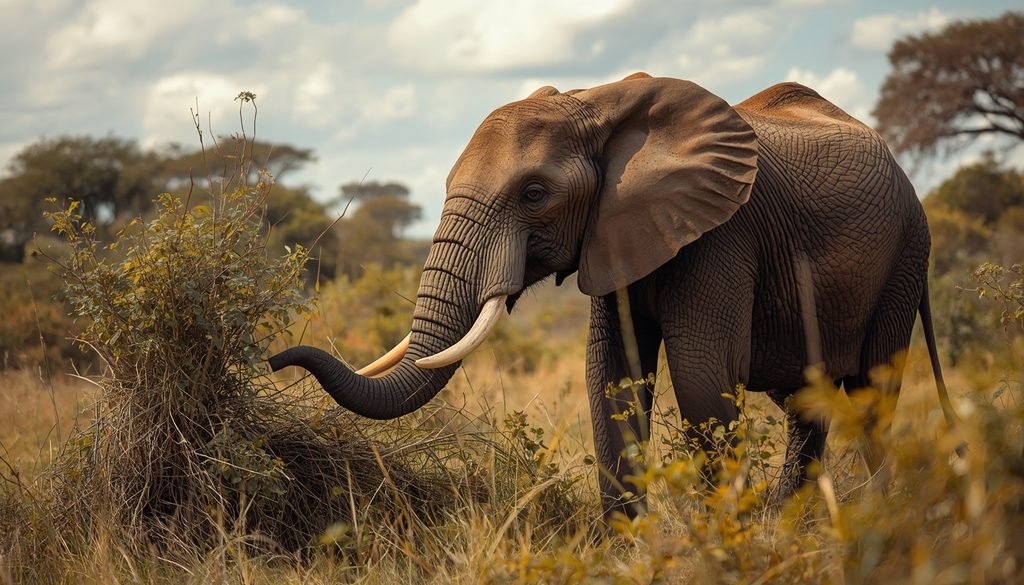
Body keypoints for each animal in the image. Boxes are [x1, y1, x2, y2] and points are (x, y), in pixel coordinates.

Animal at [269, 73, 958, 518]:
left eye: (534, 194)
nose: (274, 360)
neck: (600, 104)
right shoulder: (618, 232)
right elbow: (612, 376)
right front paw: (627, 545)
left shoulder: (723, 233)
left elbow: (703, 379)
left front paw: (723, 543)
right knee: (808, 403)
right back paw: (793, 522)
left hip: (906, 254)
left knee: (873, 392)